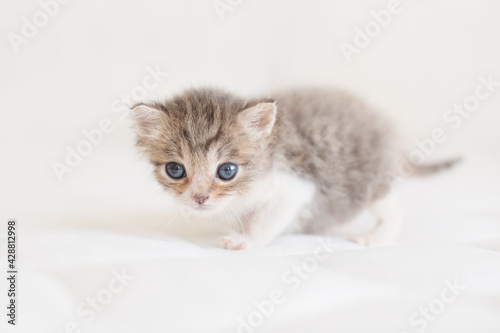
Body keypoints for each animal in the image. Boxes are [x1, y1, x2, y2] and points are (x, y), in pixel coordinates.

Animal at [132, 87, 458, 249]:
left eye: (227, 171)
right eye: (175, 170)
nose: (199, 197)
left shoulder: (294, 186)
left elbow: (267, 221)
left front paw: (246, 240)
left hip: (370, 177)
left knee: (391, 206)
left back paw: (378, 237)